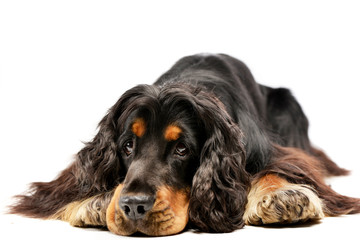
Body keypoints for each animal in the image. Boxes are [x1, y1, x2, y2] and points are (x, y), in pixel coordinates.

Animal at [9, 53, 360, 235]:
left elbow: (277, 169)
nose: (133, 206)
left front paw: (282, 196)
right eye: (127, 146)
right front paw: (96, 200)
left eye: (182, 149)